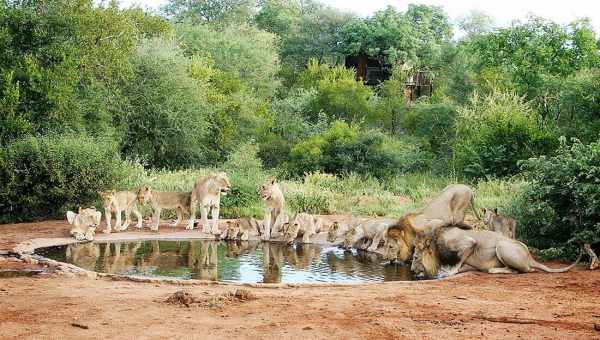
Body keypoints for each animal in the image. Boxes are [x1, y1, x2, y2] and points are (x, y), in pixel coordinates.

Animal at [412, 223, 580, 278]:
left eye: (415, 257)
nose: (412, 270)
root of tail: (530, 257)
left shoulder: (467, 243)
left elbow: (458, 261)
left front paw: (448, 272)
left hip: (502, 246)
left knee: (523, 270)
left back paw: (493, 270)